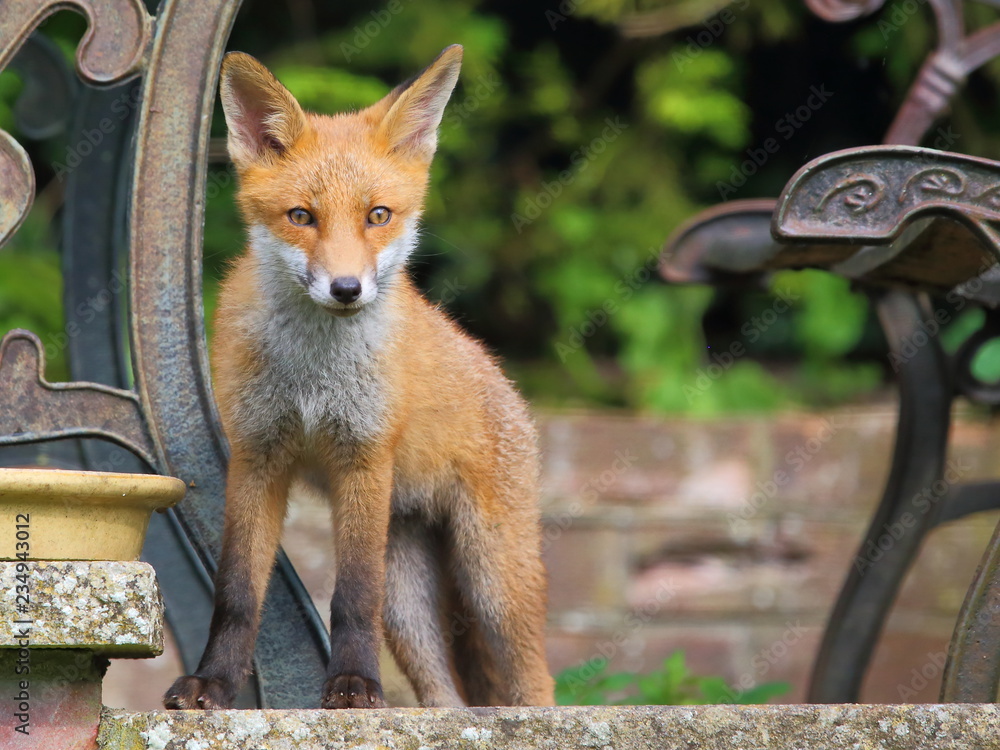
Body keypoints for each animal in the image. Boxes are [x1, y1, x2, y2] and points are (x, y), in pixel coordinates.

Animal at [162, 45, 554, 710]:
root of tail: (499, 375)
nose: (347, 288)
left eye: (378, 216)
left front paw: (352, 686)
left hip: (492, 577)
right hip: (410, 602)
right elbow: (236, 593)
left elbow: (351, 596)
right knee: (445, 700)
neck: (313, 376)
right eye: (301, 216)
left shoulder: (363, 457)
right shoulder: (257, 456)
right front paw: (213, 682)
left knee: (536, 680)